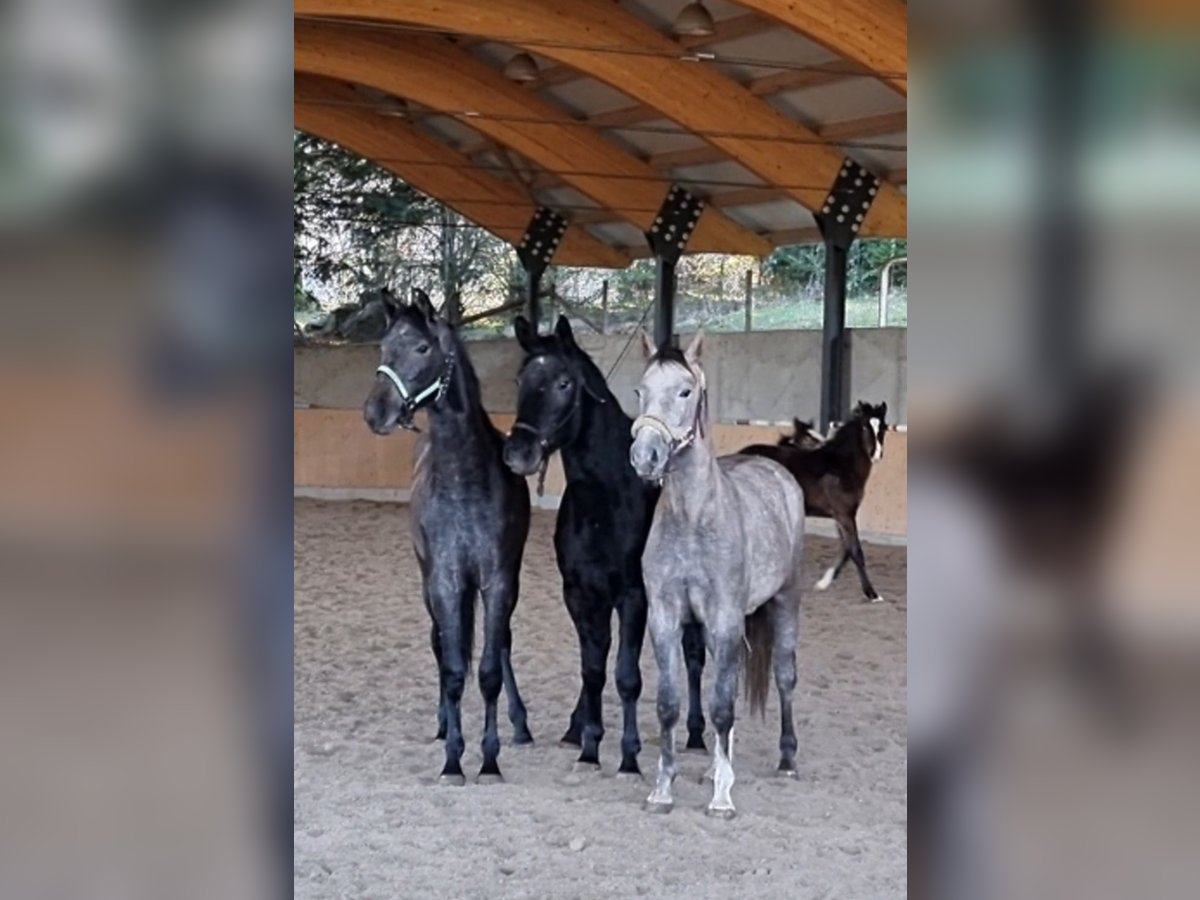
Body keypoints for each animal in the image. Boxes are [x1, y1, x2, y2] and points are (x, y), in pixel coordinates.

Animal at [362, 292, 532, 787]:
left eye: (422, 348)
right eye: (384, 346)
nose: (374, 413)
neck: (464, 482)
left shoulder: (498, 581)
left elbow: (489, 670)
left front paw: (489, 761)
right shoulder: (444, 581)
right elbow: (454, 667)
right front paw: (454, 760)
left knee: (502, 642)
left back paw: (520, 724)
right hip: (429, 584)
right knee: (440, 643)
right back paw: (442, 723)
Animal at [501, 314, 705, 777]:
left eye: (563, 383)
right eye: (520, 379)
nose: (518, 453)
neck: (605, 501)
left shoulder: (634, 596)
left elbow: (627, 676)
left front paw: (629, 757)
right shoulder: (580, 594)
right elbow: (592, 669)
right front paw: (589, 746)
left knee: (694, 655)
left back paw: (698, 734)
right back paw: (576, 728)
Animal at [628, 328, 806, 816]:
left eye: (685, 391)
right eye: (640, 390)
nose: (645, 457)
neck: (693, 519)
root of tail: (775, 469)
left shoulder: (726, 618)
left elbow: (723, 705)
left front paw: (722, 799)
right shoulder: (666, 618)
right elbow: (671, 703)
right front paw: (662, 790)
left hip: (785, 601)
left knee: (784, 676)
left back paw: (787, 760)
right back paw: (713, 766)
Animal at [739, 403, 892, 602]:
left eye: (883, 427)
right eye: (865, 427)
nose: (877, 454)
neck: (841, 466)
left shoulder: (841, 515)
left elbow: (845, 548)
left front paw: (823, 582)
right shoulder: (844, 514)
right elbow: (856, 550)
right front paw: (872, 593)